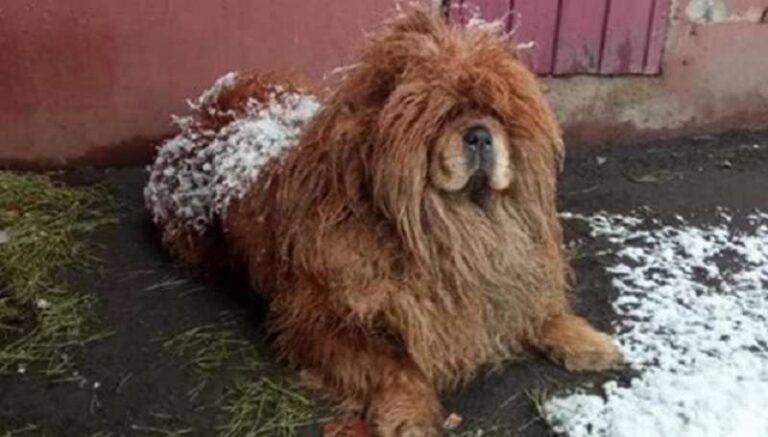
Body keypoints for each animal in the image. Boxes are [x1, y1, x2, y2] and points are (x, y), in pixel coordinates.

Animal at [146, 6, 624, 436]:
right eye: (442, 115)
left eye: (498, 114)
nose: (479, 134)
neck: (450, 231)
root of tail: (204, 111)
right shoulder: (321, 323)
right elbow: (392, 366)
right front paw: (410, 414)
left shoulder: (503, 276)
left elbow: (540, 311)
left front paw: (587, 341)